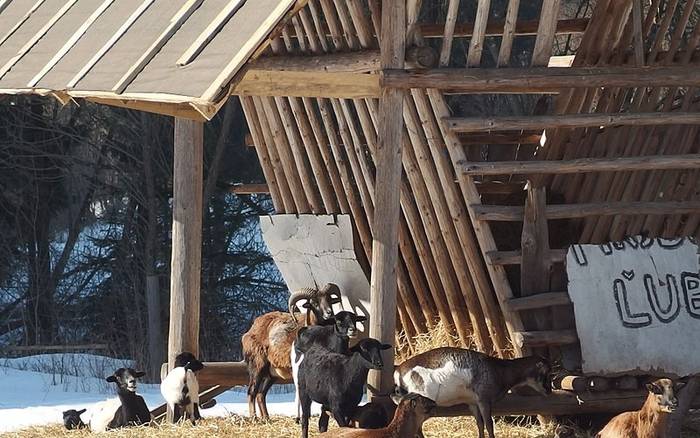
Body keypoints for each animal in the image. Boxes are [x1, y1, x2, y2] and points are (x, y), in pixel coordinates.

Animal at [396, 350, 548, 438]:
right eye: (546, 372)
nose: (548, 391)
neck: (500, 370)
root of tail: (399, 370)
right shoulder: (484, 400)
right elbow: (489, 424)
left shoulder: (472, 403)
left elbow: (479, 423)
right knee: (417, 428)